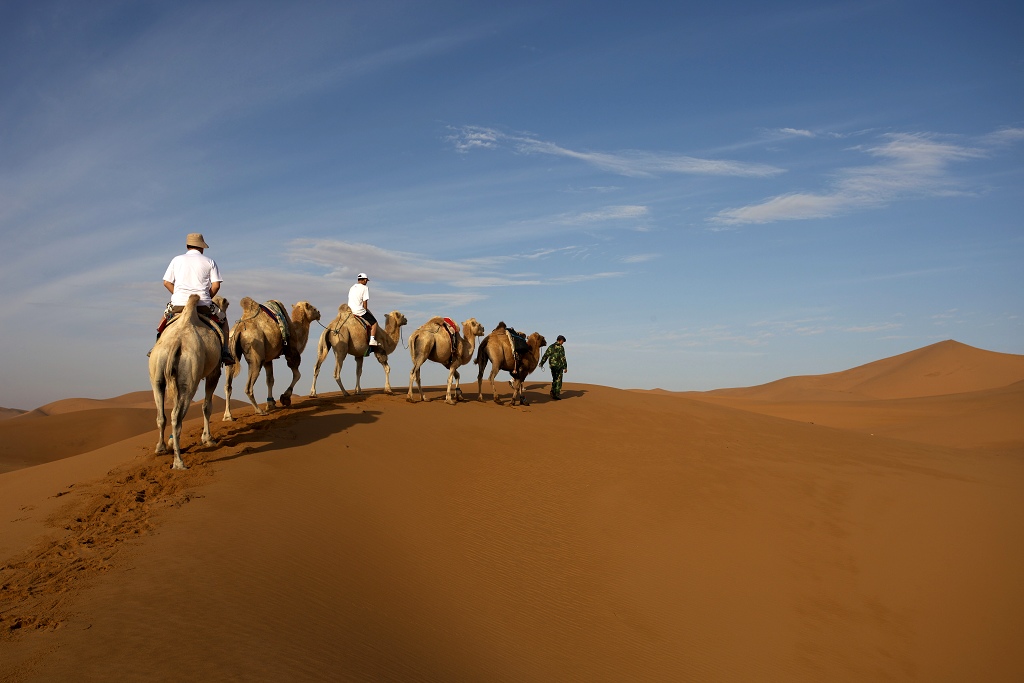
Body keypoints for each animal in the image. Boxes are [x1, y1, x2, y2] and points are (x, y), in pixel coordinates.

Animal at [148, 294, 228, 471]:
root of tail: (176, 342)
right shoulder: (214, 373)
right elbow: (207, 406)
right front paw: (208, 439)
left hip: (157, 372)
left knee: (161, 415)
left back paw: (161, 448)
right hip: (190, 379)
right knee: (176, 416)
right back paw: (178, 462)